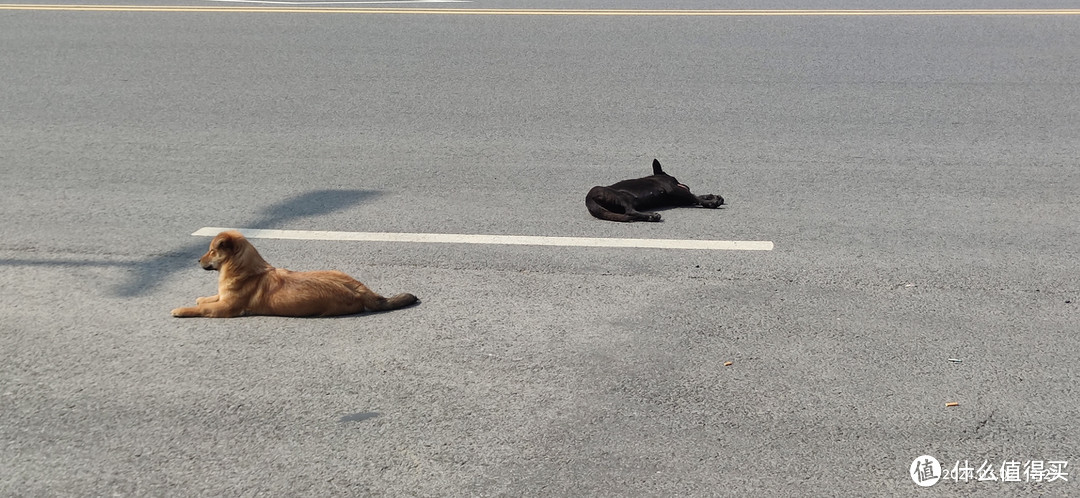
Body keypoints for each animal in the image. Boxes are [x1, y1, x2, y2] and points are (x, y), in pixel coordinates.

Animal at [171, 230, 416, 315]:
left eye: (212, 251)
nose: (197, 260)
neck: (246, 270)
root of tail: (359, 289)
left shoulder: (227, 308)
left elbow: (202, 309)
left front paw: (182, 310)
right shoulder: (223, 297)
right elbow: (208, 299)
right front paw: (201, 298)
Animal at [583, 158, 725, 221]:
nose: (686, 185)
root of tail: (588, 199)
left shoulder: (679, 198)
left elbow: (696, 196)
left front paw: (712, 197)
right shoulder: (673, 189)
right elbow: (694, 196)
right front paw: (712, 202)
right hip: (622, 197)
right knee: (629, 212)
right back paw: (652, 216)